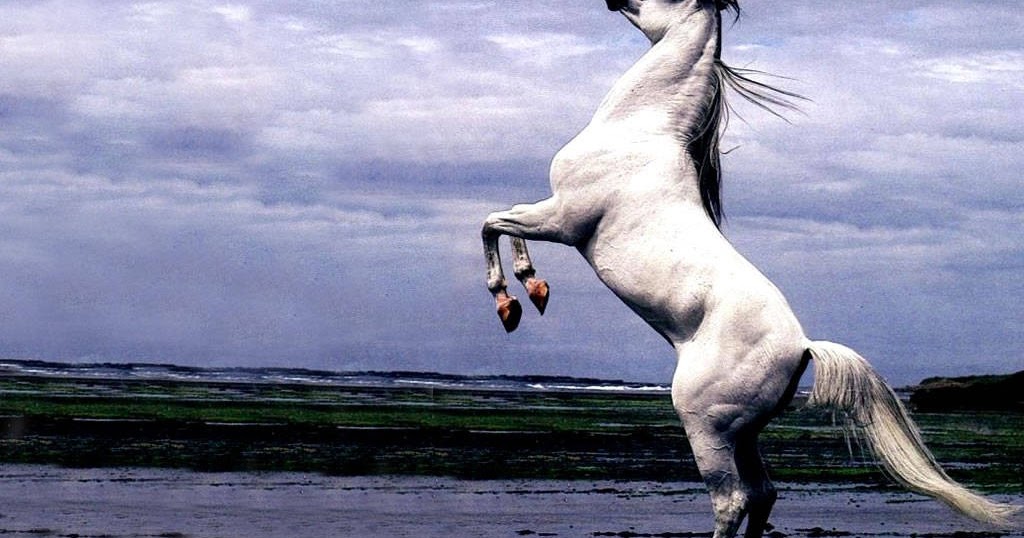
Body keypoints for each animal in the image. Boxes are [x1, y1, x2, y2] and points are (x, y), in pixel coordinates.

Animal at [480, 1, 1020, 536]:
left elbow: (494, 223)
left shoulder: (564, 220)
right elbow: (503, 223)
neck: (640, 130)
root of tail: (802, 346)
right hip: (745, 433)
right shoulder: (553, 215)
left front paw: (515, 298)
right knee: (764, 493)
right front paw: (532, 294)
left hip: (705, 425)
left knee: (732, 499)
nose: (611, 0)